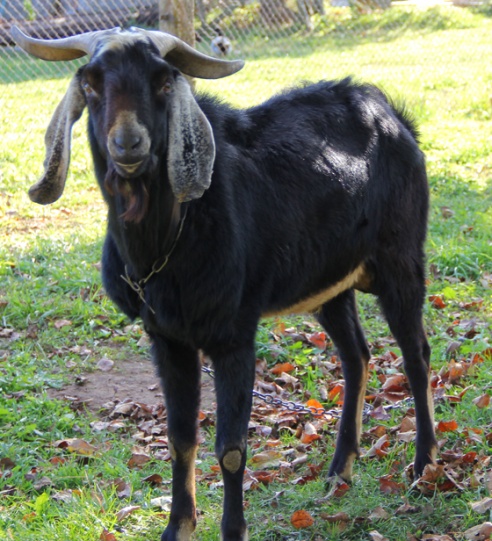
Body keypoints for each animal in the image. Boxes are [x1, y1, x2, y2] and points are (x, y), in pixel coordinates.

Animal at [13, 26, 437, 541]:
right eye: (91, 84)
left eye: (163, 81)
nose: (128, 143)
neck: (168, 240)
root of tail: (394, 116)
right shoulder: (167, 338)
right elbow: (180, 438)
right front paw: (177, 527)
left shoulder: (234, 334)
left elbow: (231, 449)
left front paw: (232, 530)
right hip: (330, 284)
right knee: (356, 355)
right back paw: (340, 470)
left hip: (401, 260)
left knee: (416, 356)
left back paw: (423, 466)